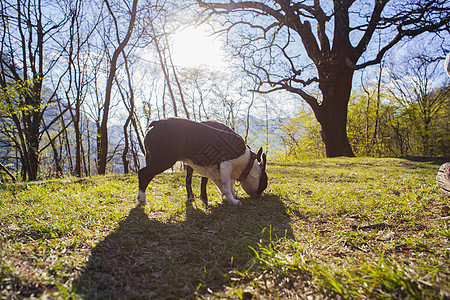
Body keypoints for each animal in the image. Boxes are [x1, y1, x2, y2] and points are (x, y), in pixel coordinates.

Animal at [135, 118, 266, 206]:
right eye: (264, 185)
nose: (260, 196)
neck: (248, 163)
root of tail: (157, 123)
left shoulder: (215, 172)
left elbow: (225, 185)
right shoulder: (226, 165)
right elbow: (226, 187)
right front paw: (233, 201)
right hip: (164, 160)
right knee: (143, 173)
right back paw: (142, 199)